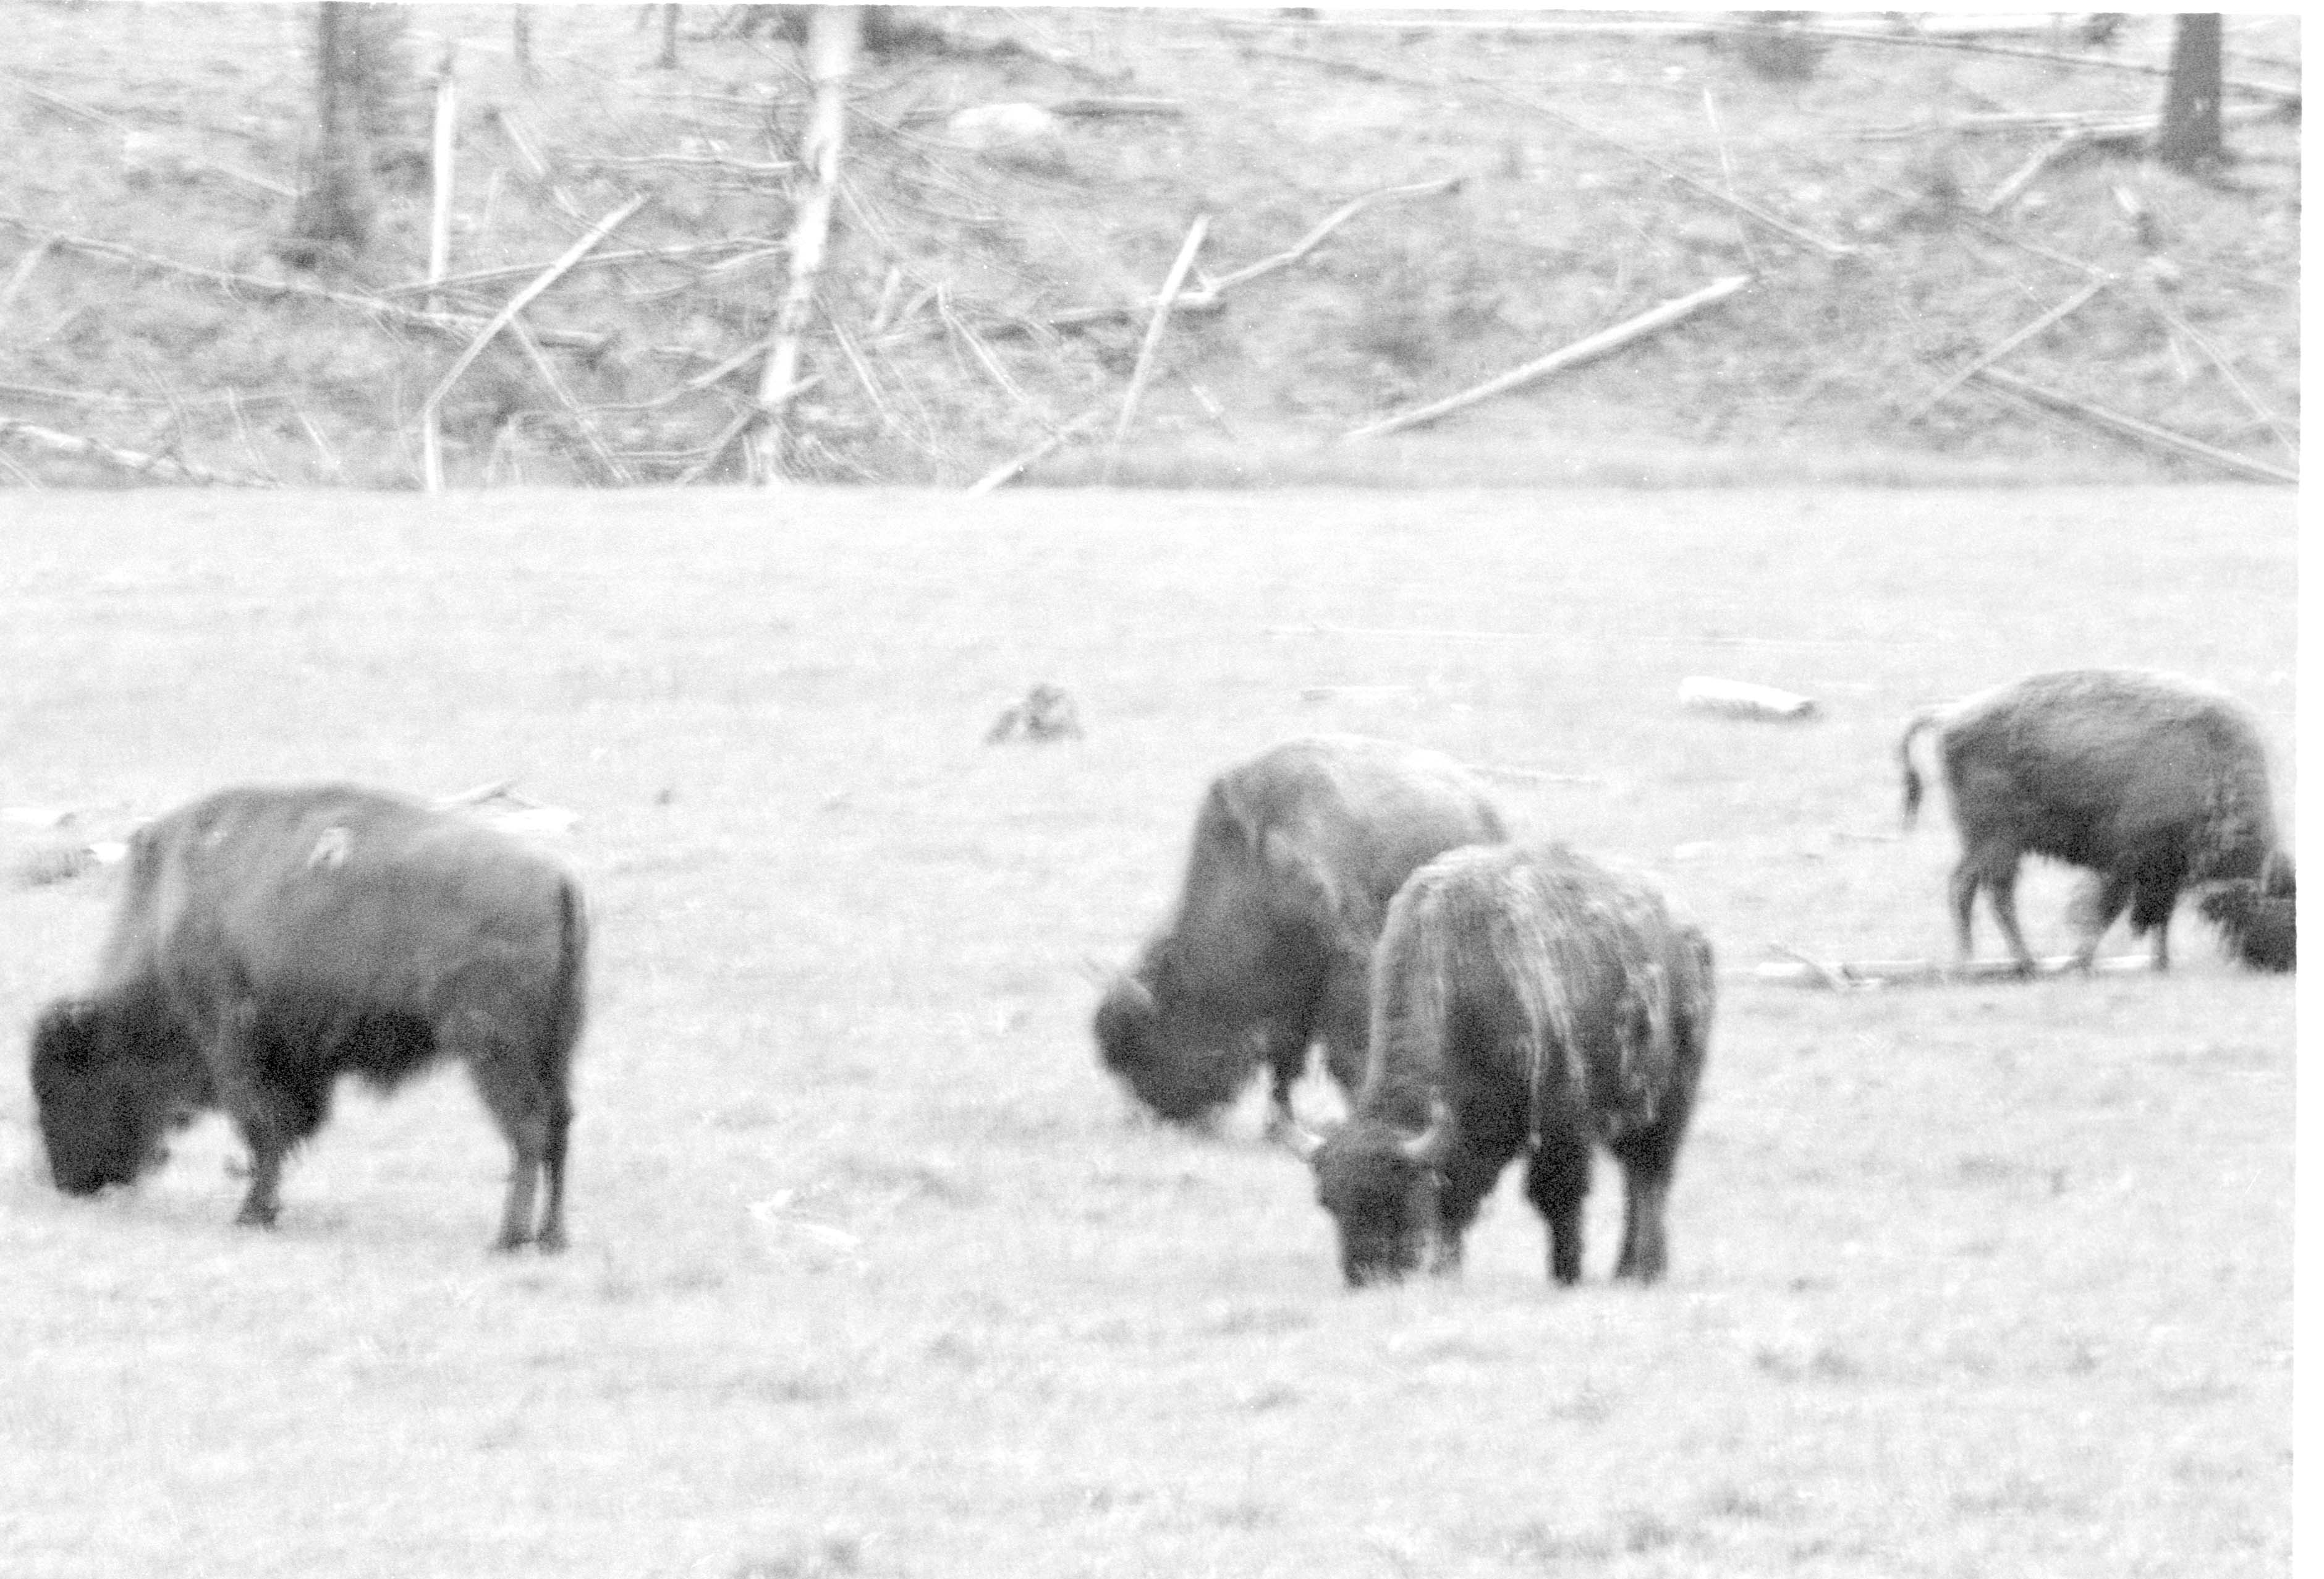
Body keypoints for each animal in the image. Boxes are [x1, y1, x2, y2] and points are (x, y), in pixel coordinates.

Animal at [29, 783, 589, 1250]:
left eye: (66, 1084)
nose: (66, 1183)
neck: (166, 916)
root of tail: (557, 882)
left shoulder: (229, 1039)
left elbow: (260, 1125)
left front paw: (252, 1215)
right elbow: (283, 1128)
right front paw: (264, 1210)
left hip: (493, 1048)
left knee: (528, 1129)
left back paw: (508, 1239)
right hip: (554, 1049)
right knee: (559, 1126)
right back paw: (551, 1238)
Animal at [1094, 736, 1507, 1132]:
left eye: (1145, 1044)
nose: (1155, 1118)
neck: (1255, 868)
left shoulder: (1346, 968)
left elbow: (1345, 1052)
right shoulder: (1295, 989)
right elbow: (1287, 1056)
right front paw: (1280, 1125)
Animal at [1287, 842, 1713, 1289]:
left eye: (1399, 1199)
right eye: (1328, 1202)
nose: (1365, 1277)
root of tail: (1688, 933)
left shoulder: (1560, 1123)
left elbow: (1557, 1197)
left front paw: (1565, 1274)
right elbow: (1456, 1201)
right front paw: (1447, 1271)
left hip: (1667, 1107)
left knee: (1649, 1180)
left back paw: (1640, 1270)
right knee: (1638, 1180)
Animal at [1898, 668, 2293, 972]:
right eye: (2289, 910)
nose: (2284, 965)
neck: (2213, 765)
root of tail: (1949, 714)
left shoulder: (2162, 872)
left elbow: (2158, 917)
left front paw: (2161, 963)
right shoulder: (2131, 864)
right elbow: (2110, 911)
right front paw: (2081, 962)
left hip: (1985, 843)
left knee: (1969, 889)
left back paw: (1981, 960)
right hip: (1998, 842)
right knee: (1990, 895)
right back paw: (2017, 964)